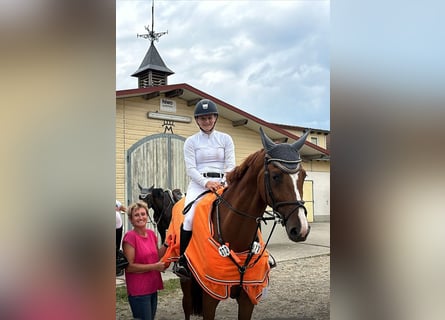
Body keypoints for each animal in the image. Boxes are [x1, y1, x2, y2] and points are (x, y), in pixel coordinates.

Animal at [161, 126, 310, 318]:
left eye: (303, 175)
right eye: (276, 176)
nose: (301, 229)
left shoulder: (248, 298)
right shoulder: (210, 298)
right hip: (186, 283)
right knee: (186, 307)